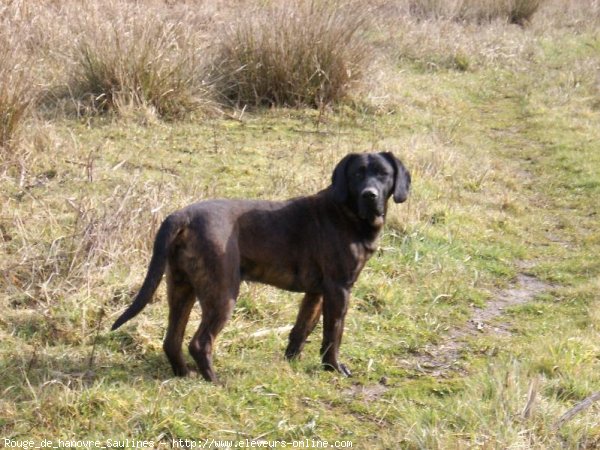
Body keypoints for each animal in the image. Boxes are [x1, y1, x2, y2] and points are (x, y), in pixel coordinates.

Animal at [112, 153, 410, 382]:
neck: (347, 212)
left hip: (181, 288)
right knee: (199, 342)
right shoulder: (339, 289)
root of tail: (182, 216)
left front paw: (291, 363)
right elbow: (332, 334)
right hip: (222, 293)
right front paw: (334, 368)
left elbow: (301, 330)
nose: (370, 195)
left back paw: (185, 374)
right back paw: (215, 381)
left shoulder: (316, 293)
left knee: (172, 341)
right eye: (357, 174)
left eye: (383, 174)